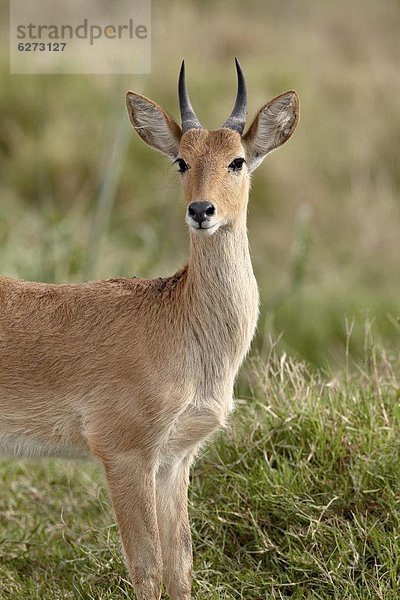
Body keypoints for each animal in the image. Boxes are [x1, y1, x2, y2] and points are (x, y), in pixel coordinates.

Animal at [0, 58, 298, 596]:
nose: (201, 211)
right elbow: (147, 566)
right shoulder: (125, 453)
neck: (181, 326)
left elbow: (181, 566)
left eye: (237, 160)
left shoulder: (174, 460)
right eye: (181, 160)